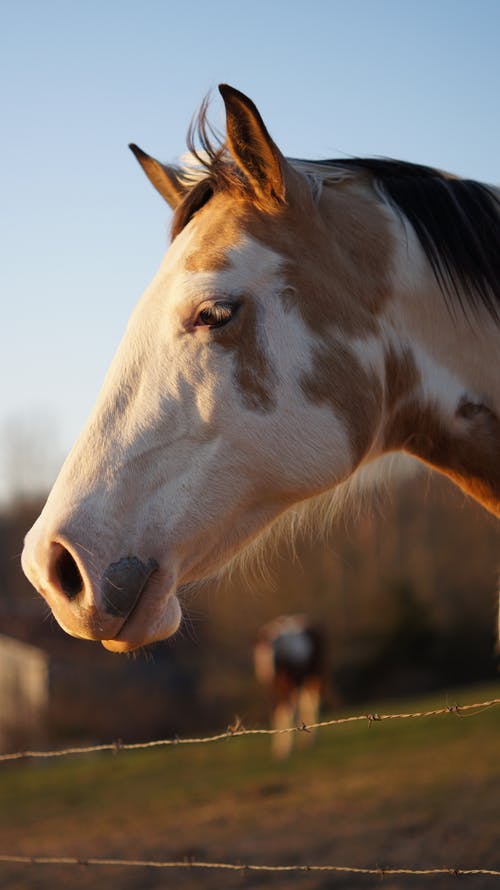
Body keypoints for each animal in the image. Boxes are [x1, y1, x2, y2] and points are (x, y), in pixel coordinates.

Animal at [254, 616, 324, 756]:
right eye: (259, 653)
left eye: (273, 651)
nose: (264, 672)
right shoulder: (272, 689)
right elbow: (276, 711)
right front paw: (278, 748)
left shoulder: (286, 684)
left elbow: (287, 710)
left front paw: (286, 748)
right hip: (302, 678)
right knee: (305, 701)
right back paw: (305, 739)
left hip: (314, 673)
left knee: (313, 700)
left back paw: (311, 739)